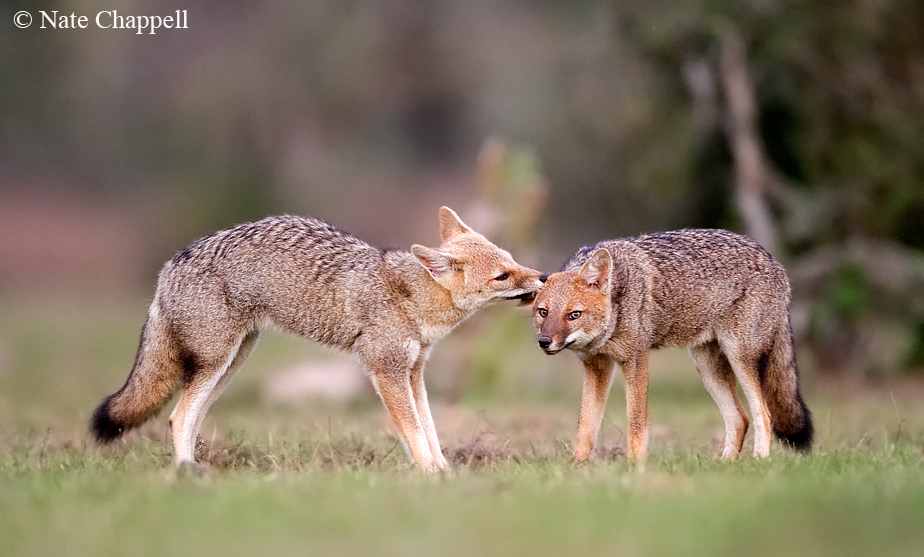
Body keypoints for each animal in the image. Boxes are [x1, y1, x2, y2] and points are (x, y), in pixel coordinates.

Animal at [90, 206, 544, 473]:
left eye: (512, 262)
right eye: (502, 276)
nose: (541, 278)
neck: (410, 296)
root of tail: (169, 265)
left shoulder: (414, 374)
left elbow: (430, 429)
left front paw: (445, 472)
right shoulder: (387, 373)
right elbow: (414, 431)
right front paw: (430, 477)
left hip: (229, 365)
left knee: (186, 415)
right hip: (216, 363)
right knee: (179, 416)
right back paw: (188, 477)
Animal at [532, 229, 813, 462]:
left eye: (573, 315)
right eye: (543, 312)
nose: (544, 342)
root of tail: (775, 261)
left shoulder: (636, 360)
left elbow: (636, 422)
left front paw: (635, 467)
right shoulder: (597, 367)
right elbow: (586, 426)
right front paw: (577, 467)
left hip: (740, 359)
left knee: (763, 414)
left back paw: (759, 463)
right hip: (708, 369)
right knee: (739, 420)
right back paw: (724, 467)